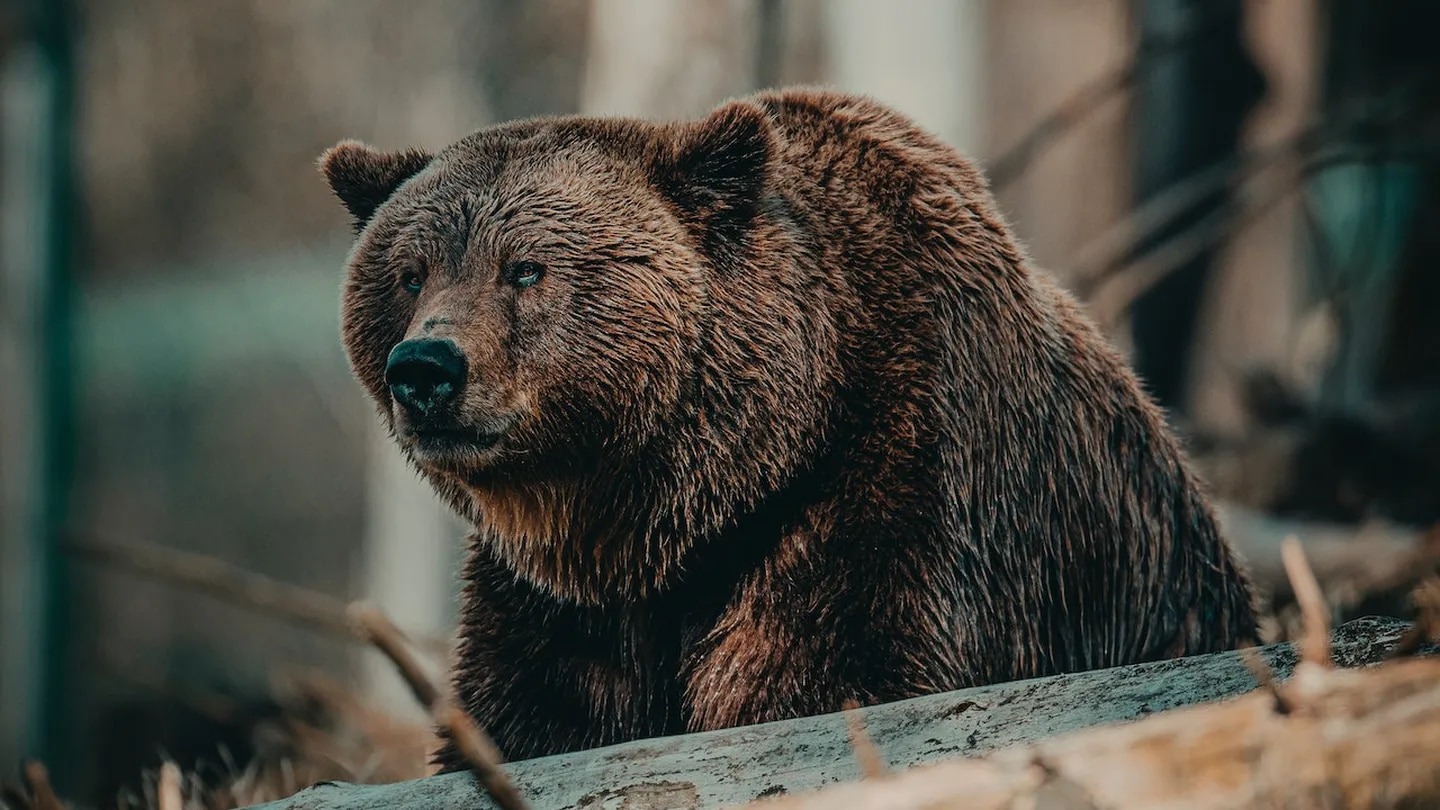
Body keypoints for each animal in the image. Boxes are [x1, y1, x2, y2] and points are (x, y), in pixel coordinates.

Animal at [321, 86, 1255, 760]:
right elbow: (529, 714)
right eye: (409, 272)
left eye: (526, 269)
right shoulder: (558, 603)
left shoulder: (895, 485)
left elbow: (829, 673)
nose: (425, 369)